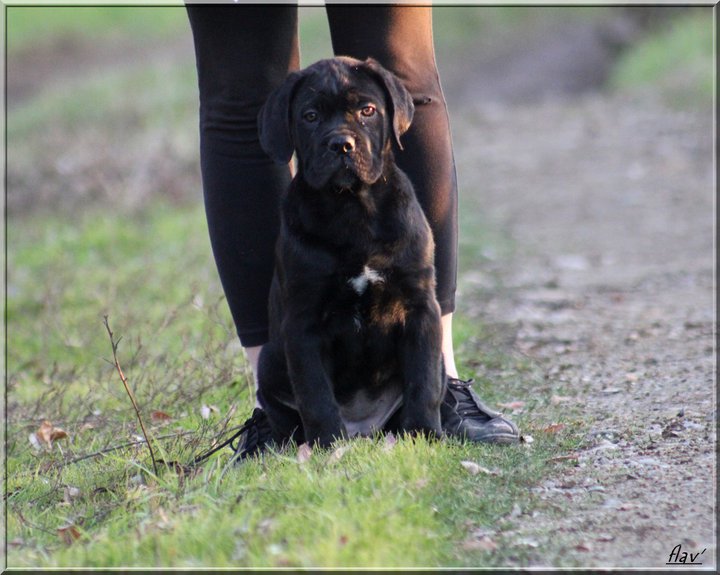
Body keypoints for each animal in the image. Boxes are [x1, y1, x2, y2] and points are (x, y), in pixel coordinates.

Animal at [253, 56, 444, 448]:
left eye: (367, 110)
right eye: (310, 116)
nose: (341, 144)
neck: (353, 208)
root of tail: (365, 431)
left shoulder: (421, 307)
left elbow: (424, 379)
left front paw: (424, 433)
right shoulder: (302, 322)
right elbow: (314, 392)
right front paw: (327, 444)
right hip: (267, 362)